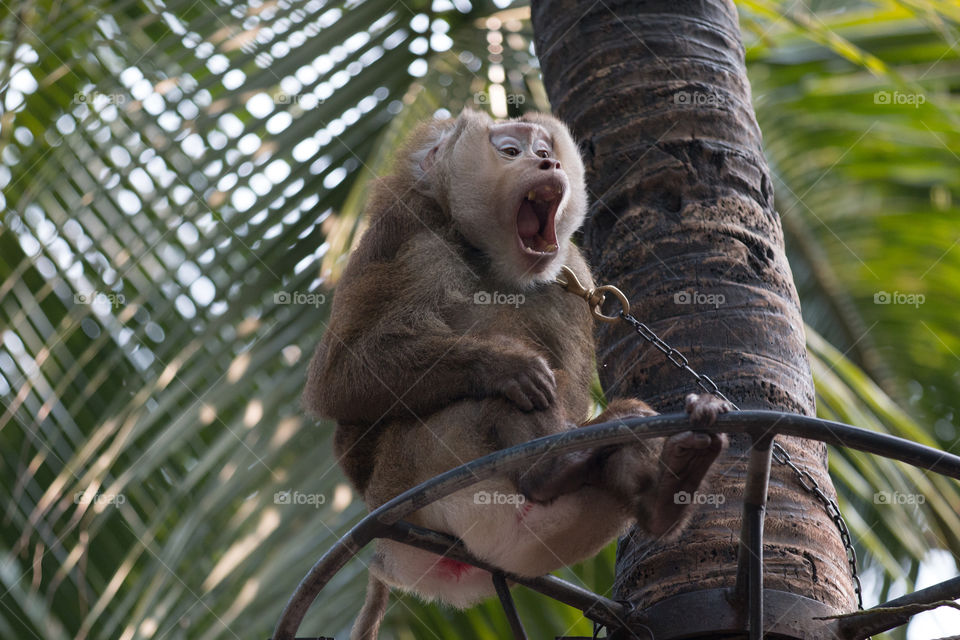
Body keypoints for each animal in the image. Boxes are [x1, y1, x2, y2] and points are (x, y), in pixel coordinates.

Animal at [304, 107, 732, 636]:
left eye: (544, 149)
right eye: (511, 151)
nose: (548, 163)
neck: (494, 263)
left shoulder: (571, 273)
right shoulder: (417, 241)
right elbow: (338, 383)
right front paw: (504, 364)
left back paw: (661, 490)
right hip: (411, 483)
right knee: (492, 402)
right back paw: (548, 464)